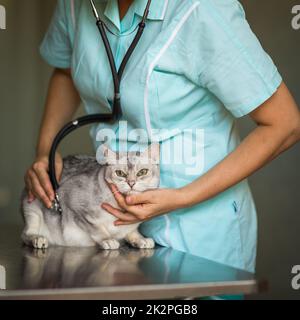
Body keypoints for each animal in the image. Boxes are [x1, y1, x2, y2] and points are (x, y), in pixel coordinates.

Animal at [20, 144, 159, 251]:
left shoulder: (130, 226)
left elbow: (132, 231)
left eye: (142, 172)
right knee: (25, 234)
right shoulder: (72, 201)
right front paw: (107, 240)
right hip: (32, 210)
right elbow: (96, 228)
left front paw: (141, 239)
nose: (131, 183)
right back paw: (38, 239)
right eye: (120, 173)